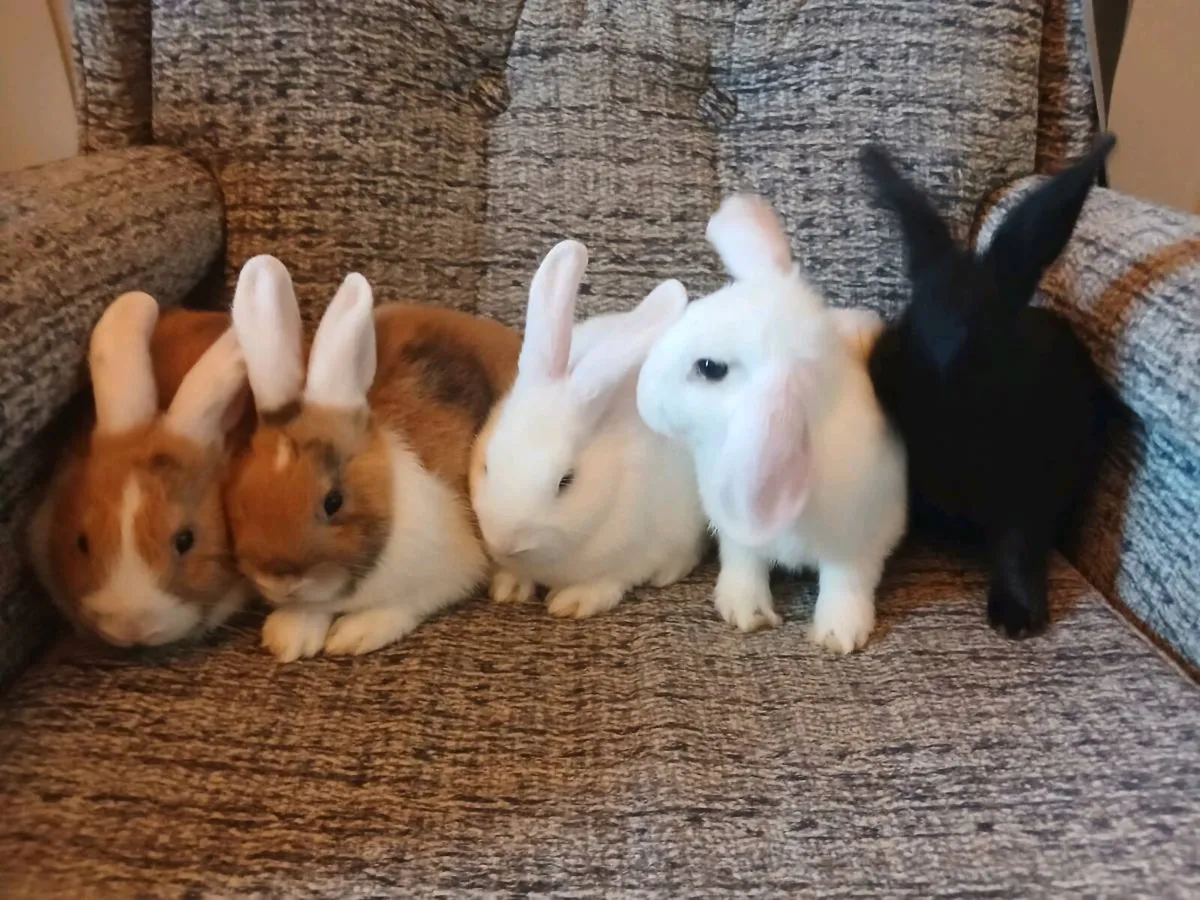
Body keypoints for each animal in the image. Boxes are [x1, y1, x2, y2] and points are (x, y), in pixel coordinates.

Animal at [224, 255, 522, 662]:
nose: (280, 579)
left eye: (334, 502)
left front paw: (353, 634)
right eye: (242, 499)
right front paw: (289, 636)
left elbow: (401, 605)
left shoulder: (448, 571)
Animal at [468, 240, 709, 620]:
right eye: (487, 466)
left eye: (566, 482)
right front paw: (510, 588)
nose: (507, 542)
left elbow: (609, 583)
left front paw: (573, 601)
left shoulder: (635, 555)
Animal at [637, 195, 908, 653]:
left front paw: (838, 634)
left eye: (709, 368)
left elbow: (846, 583)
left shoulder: (858, 540)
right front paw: (744, 611)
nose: (642, 399)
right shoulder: (736, 532)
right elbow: (743, 564)